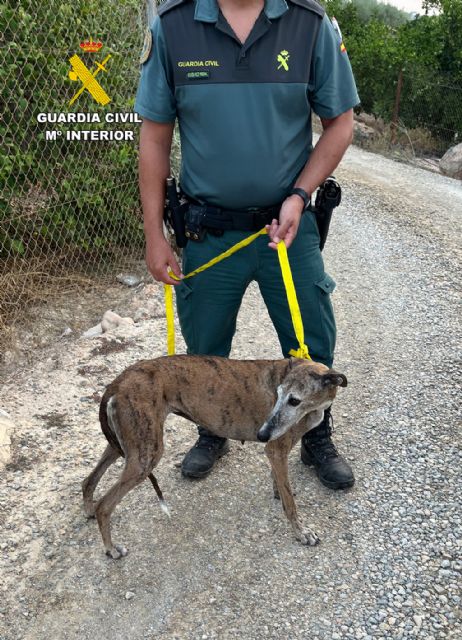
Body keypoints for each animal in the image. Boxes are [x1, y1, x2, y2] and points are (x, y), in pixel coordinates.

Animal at [82, 356, 346, 560]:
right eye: (278, 394)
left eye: (294, 400)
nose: (261, 434)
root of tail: (117, 383)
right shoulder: (276, 448)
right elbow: (290, 504)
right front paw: (302, 532)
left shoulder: (277, 450)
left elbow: (280, 484)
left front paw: (278, 493)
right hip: (146, 455)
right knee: (105, 505)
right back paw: (111, 548)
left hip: (126, 446)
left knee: (88, 480)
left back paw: (89, 509)